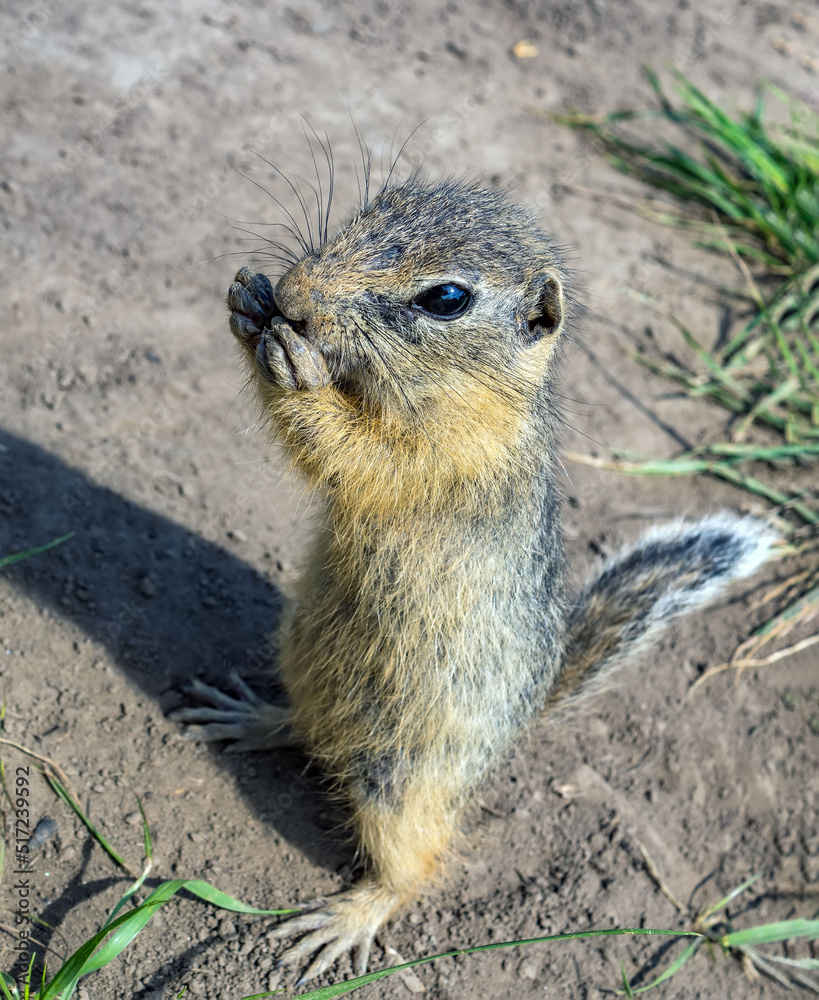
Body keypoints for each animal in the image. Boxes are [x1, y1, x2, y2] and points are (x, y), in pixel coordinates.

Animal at [175, 174, 780, 984]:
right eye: (374, 204)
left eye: (447, 299)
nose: (296, 294)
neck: (472, 391)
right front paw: (250, 300)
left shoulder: (445, 459)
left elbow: (350, 455)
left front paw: (297, 370)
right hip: (307, 666)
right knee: (304, 728)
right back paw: (252, 717)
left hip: (401, 786)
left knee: (413, 867)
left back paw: (348, 917)